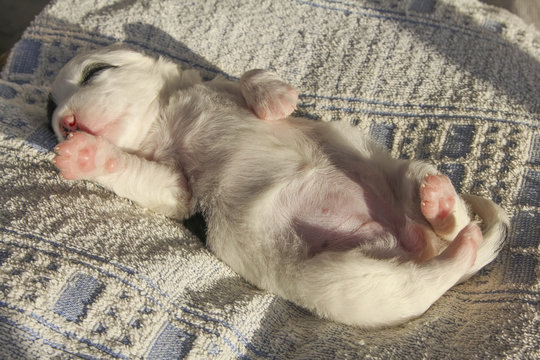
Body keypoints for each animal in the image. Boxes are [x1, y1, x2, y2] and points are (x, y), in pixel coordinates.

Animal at [48, 46, 508, 328]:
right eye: (52, 117)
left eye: (95, 72)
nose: (63, 123)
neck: (167, 115)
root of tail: (413, 241)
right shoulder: (175, 186)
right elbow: (149, 180)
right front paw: (84, 156)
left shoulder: (218, 86)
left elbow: (246, 73)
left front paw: (275, 97)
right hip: (342, 282)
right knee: (436, 272)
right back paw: (457, 238)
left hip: (401, 173)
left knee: (442, 214)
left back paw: (439, 201)